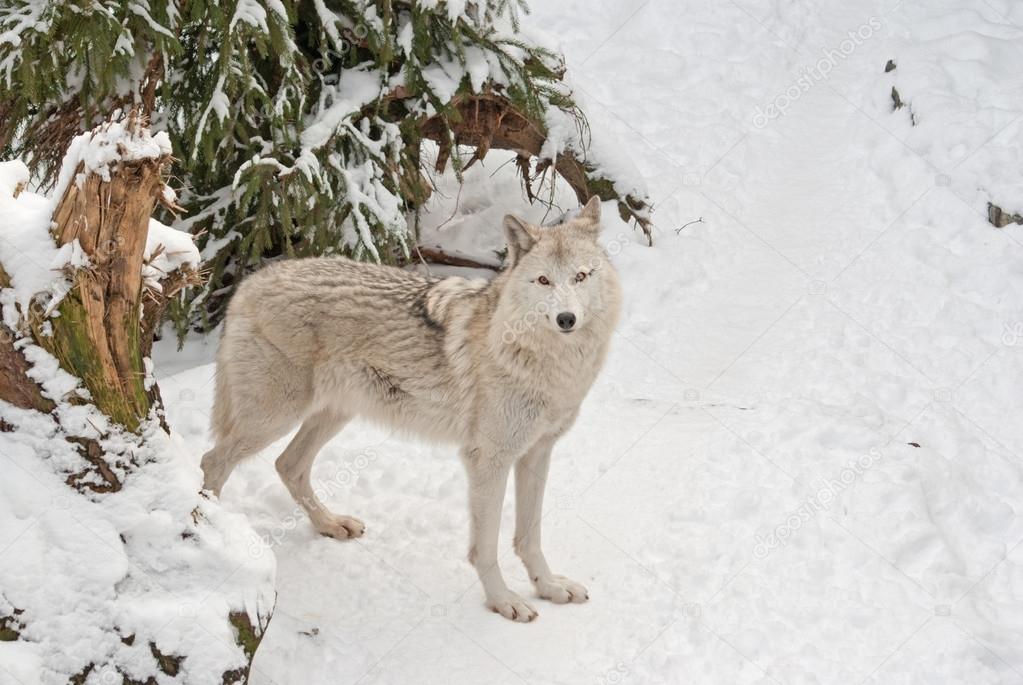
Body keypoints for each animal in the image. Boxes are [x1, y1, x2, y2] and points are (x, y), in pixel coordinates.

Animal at [201, 197, 621, 621]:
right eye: (543, 281)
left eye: (581, 276)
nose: (566, 318)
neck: (547, 361)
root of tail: (252, 282)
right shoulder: (488, 459)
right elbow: (486, 547)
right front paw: (503, 601)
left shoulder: (537, 452)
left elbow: (530, 537)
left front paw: (548, 587)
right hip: (273, 419)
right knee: (213, 462)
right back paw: (212, 537)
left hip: (334, 414)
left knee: (288, 465)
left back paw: (330, 524)